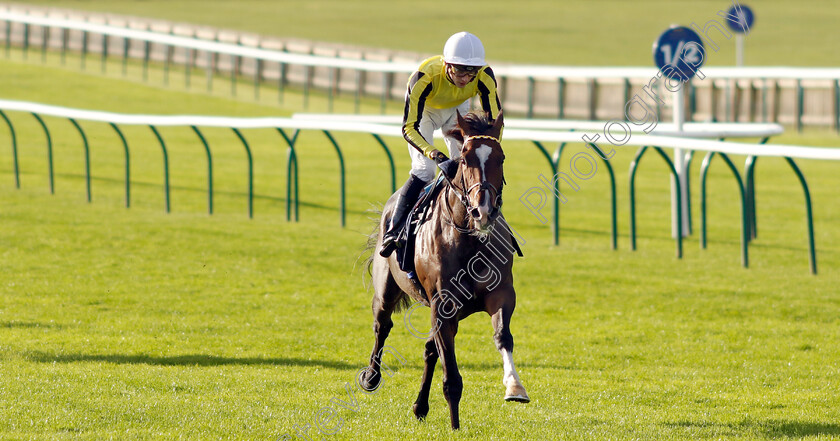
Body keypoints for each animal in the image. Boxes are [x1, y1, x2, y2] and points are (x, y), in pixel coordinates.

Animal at [360, 111, 532, 430]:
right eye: (464, 159)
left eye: (501, 157)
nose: (483, 211)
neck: (468, 237)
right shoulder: (442, 303)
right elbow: (451, 376)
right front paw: (455, 426)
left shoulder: (500, 293)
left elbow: (503, 336)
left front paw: (515, 387)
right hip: (387, 289)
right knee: (382, 325)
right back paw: (371, 377)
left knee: (430, 349)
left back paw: (420, 406)